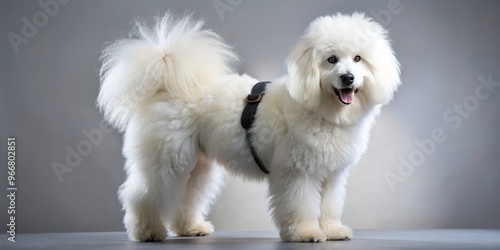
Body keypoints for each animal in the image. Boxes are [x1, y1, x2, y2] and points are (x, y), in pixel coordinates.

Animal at [98, 12, 398, 242]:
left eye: (358, 58)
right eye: (331, 59)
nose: (348, 78)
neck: (319, 109)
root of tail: (164, 86)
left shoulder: (331, 176)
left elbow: (329, 206)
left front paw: (333, 231)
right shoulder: (297, 174)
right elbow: (301, 205)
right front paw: (305, 233)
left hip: (198, 167)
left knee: (187, 197)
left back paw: (190, 228)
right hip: (165, 161)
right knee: (141, 195)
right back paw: (147, 231)